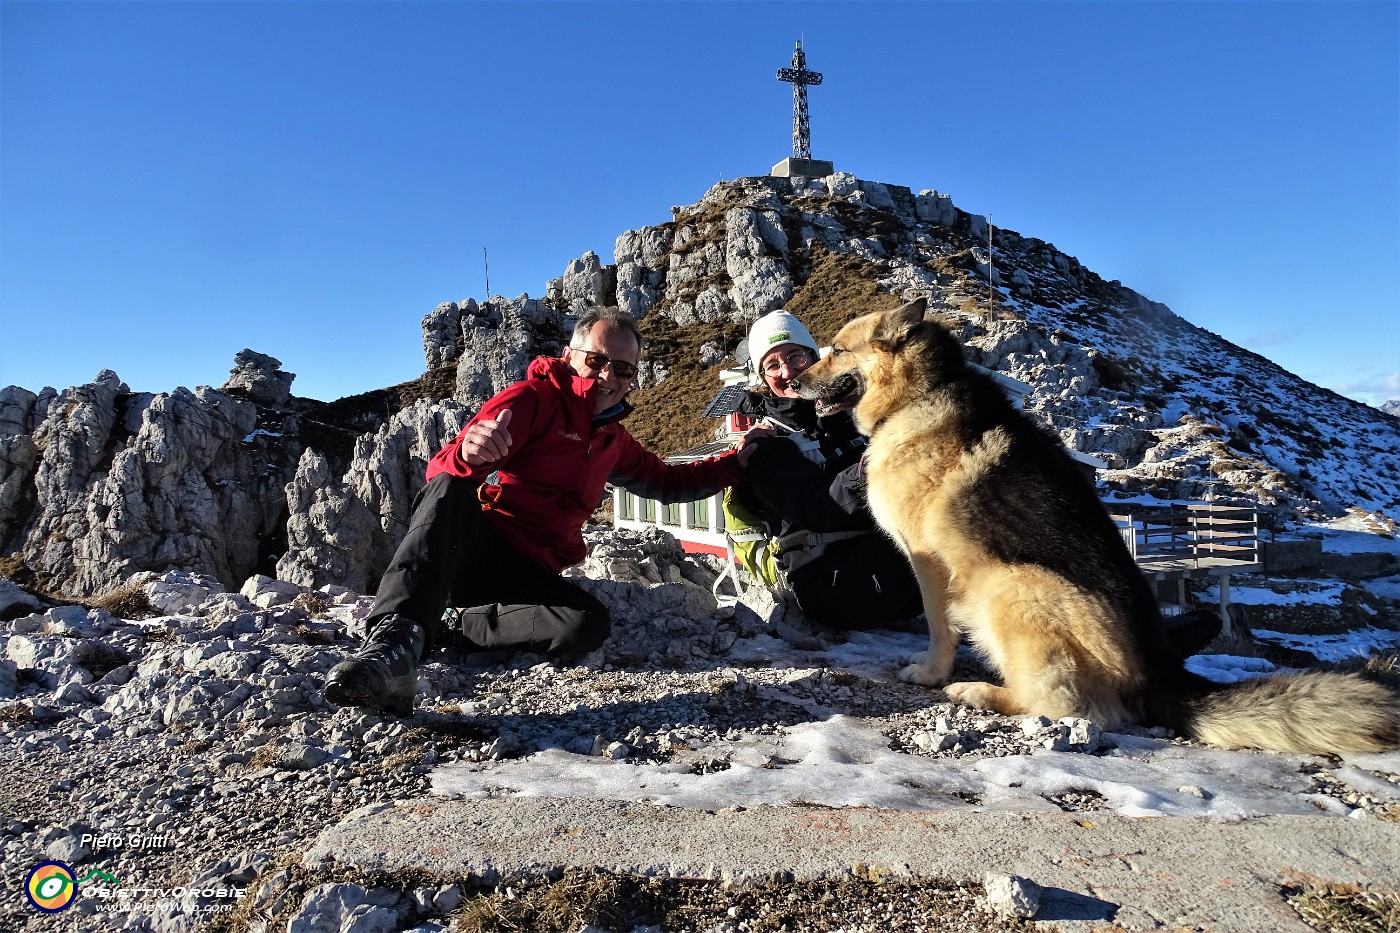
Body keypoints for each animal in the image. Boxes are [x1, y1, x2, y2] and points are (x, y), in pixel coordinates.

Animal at [800, 298, 1400, 756]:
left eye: (837, 350)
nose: (794, 376)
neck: (920, 395)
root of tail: (1159, 676)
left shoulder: (929, 564)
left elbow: (938, 627)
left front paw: (930, 672)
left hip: (1011, 588)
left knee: (1066, 705)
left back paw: (978, 692)